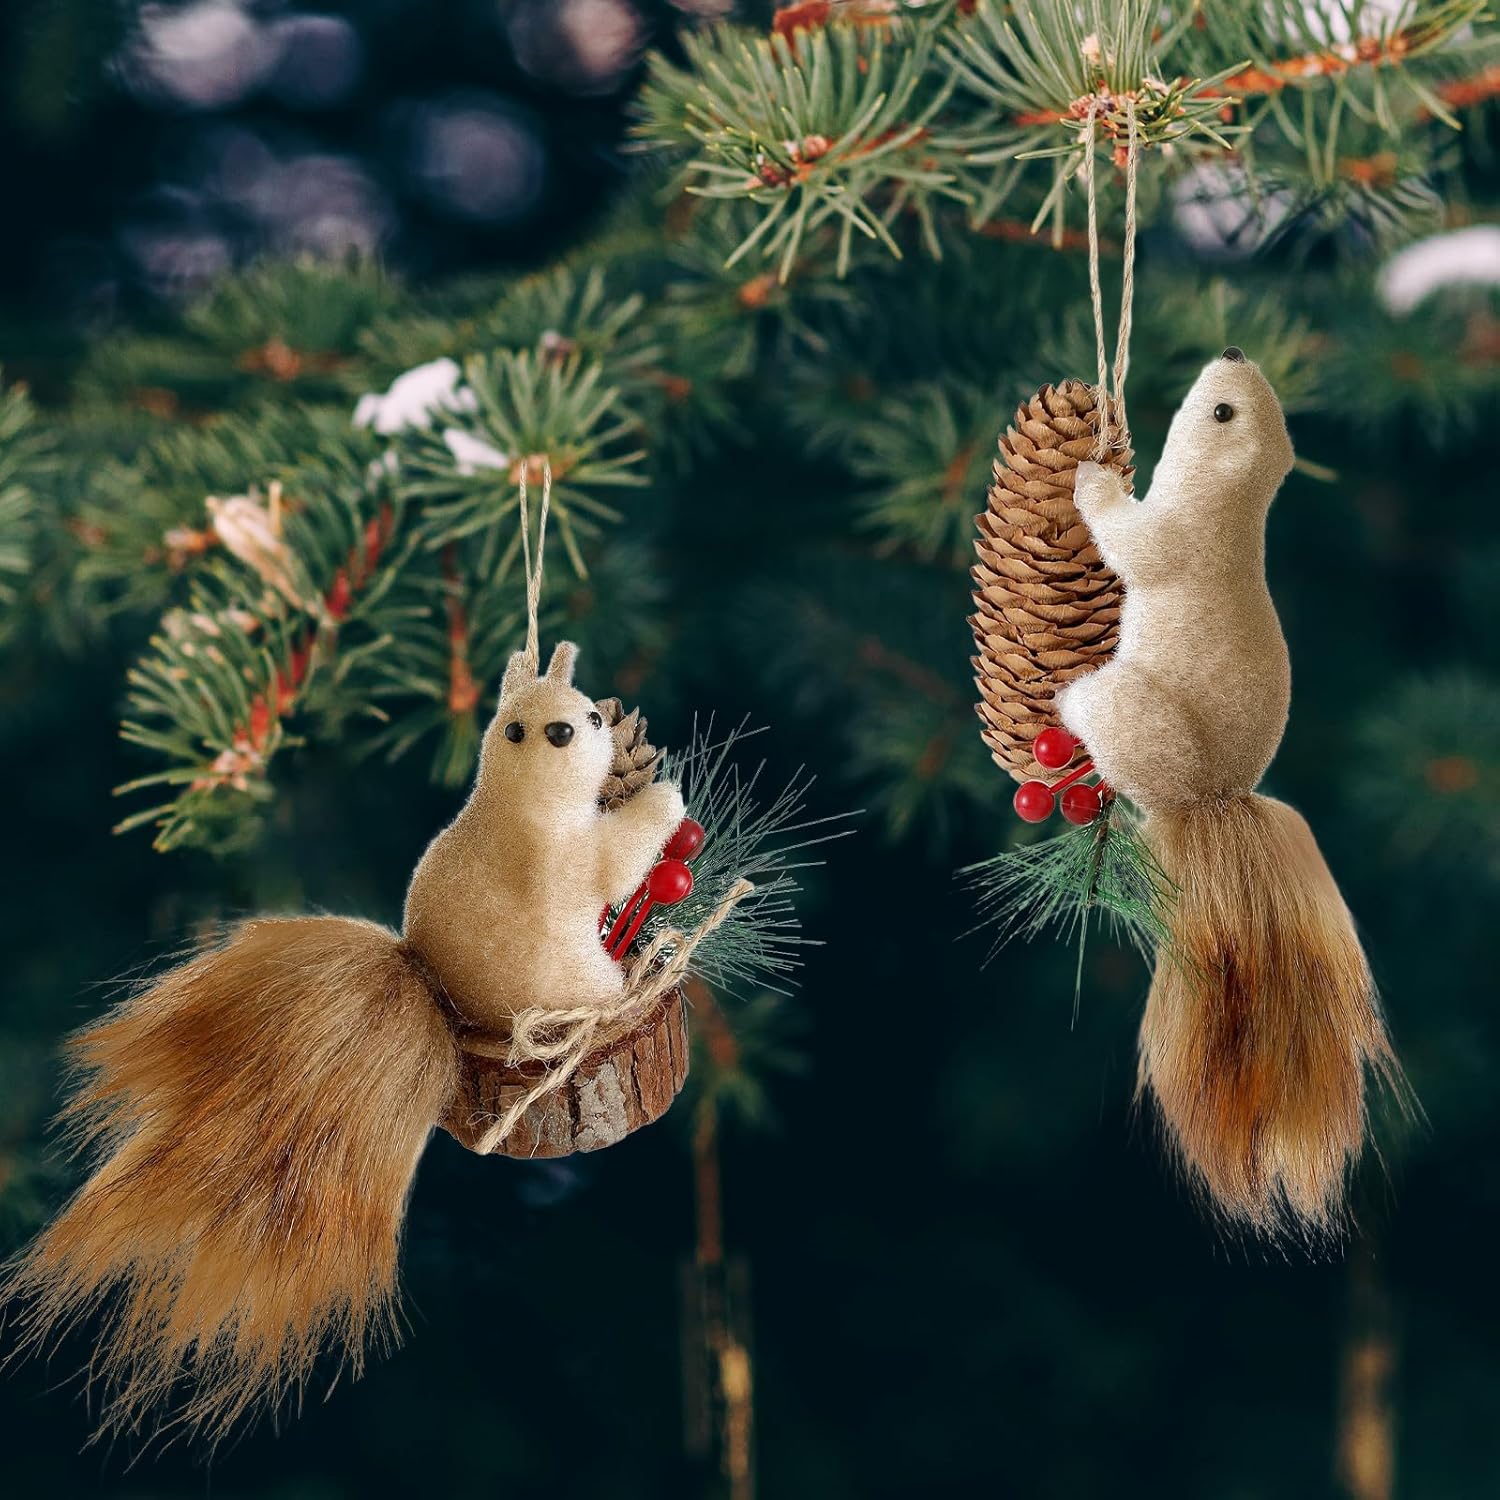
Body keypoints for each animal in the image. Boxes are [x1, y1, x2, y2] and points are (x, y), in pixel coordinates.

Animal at [4, 641, 684, 1443]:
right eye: (570, 728)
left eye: (581, 710)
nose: (599, 722)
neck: (514, 800)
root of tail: (435, 988)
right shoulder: (572, 855)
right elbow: (619, 860)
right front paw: (664, 800)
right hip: (579, 975)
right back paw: (635, 971)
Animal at [1057, 348, 1404, 1236]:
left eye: (1222, 413)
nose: (1237, 352)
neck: (1233, 507)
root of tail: (1216, 799)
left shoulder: (1173, 536)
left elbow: (1131, 542)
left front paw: (1092, 473)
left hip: (1136, 716)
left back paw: (1071, 711)